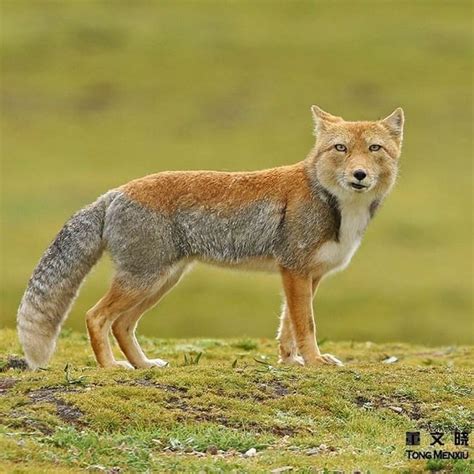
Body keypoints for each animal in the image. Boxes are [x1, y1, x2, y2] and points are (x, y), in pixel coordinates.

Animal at [17, 106, 404, 370]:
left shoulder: (310, 275)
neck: (336, 204)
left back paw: (143, 366)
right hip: (143, 281)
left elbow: (287, 327)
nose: (359, 174)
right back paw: (112, 367)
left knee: (123, 325)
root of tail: (115, 192)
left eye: (374, 149)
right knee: (96, 317)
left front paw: (290, 361)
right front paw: (314, 361)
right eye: (340, 148)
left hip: (161, 281)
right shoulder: (294, 271)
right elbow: (305, 325)